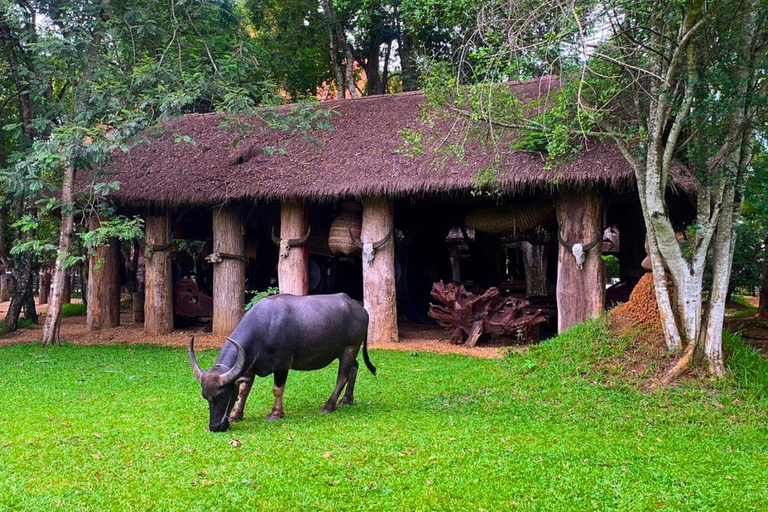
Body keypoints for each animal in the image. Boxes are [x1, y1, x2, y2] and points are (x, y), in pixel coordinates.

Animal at [189, 292, 376, 432]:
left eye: (221, 395)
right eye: (205, 396)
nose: (215, 427)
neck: (263, 329)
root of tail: (360, 308)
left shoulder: (282, 365)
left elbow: (277, 390)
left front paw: (276, 413)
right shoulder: (248, 368)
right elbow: (243, 391)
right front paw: (236, 414)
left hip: (350, 348)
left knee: (342, 375)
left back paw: (329, 406)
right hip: (344, 351)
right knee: (354, 368)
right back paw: (347, 399)